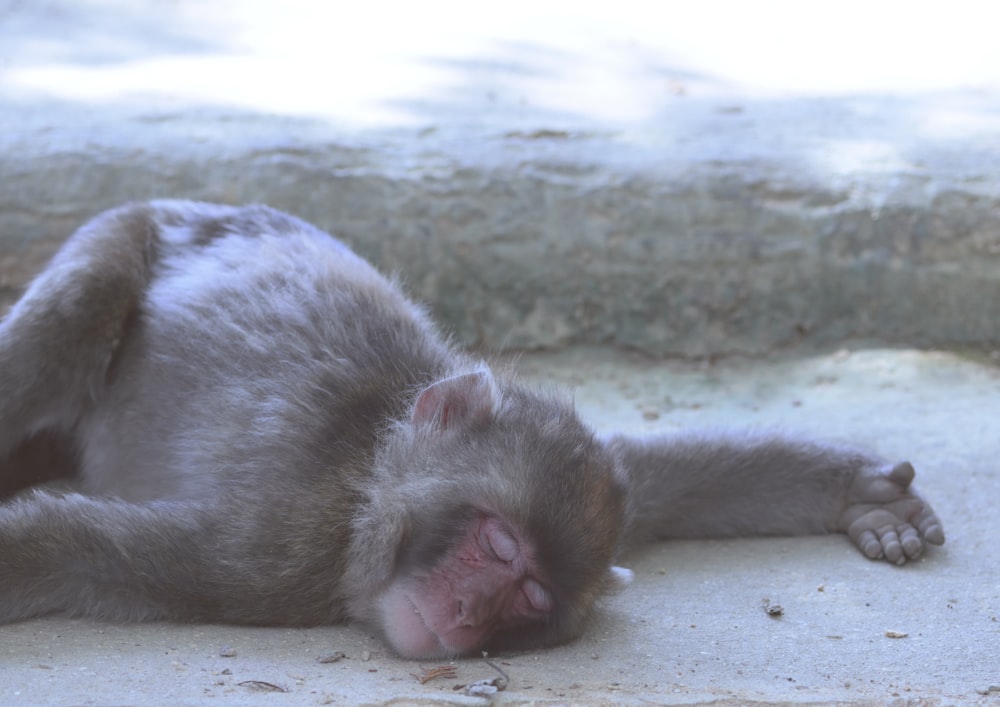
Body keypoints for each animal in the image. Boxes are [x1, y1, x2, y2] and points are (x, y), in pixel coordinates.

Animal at [0, 202, 940, 660]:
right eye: (498, 546)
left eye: (530, 598)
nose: (465, 613)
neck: (367, 477)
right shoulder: (277, 559)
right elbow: (68, 549)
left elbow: (676, 479)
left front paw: (856, 491)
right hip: (123, 231)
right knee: (78, 311)